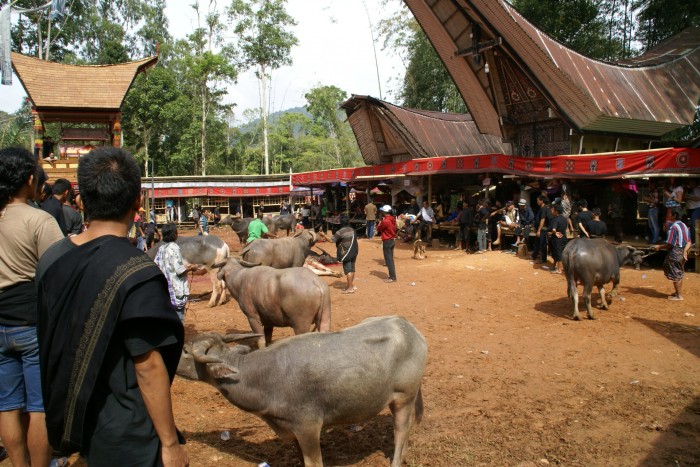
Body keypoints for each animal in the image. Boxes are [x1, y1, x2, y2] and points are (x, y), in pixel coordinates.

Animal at [176, 314, 426, 467]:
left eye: (186, 351)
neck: (263, 377)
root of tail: (411, 329)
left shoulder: (308, 427)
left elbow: (313, 462)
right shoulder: (293, 429)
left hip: (404, 397)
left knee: (400, 430)